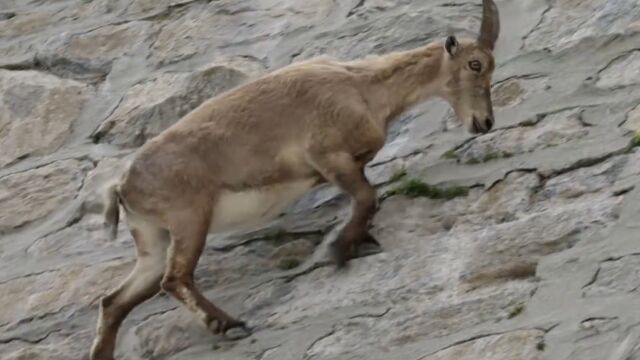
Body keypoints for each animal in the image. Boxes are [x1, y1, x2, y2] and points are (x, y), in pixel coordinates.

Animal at [90, 1, 500, 358]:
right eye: (475, 63)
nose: (485, 122)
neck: (363, 87)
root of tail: (122, 186)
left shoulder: (348, 165)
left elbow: (366, 199)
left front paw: (360, 240)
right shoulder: (328, 157)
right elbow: (367, 197)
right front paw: (341, 250)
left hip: (152, 237)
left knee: (115, 300)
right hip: (189, 218)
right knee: (173, 279)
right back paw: (228, 324)